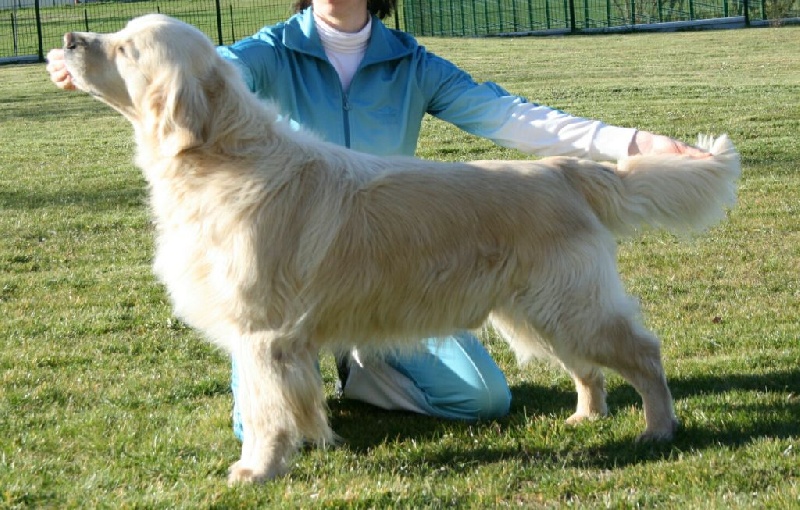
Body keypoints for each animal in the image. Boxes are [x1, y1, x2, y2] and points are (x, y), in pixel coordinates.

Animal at [60, 14, 740, 484]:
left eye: (124, 48)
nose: (67, 39)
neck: (220, 158)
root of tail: (561, 170)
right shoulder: (277, 339)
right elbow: (289, 402)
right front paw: (304, 444)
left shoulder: (262, 332)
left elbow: (263, 409)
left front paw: (257, 469)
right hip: (537, 310)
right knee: (588, 367)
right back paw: (587, 416)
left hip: (571, 304)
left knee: (643, 354)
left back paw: (658, 428)